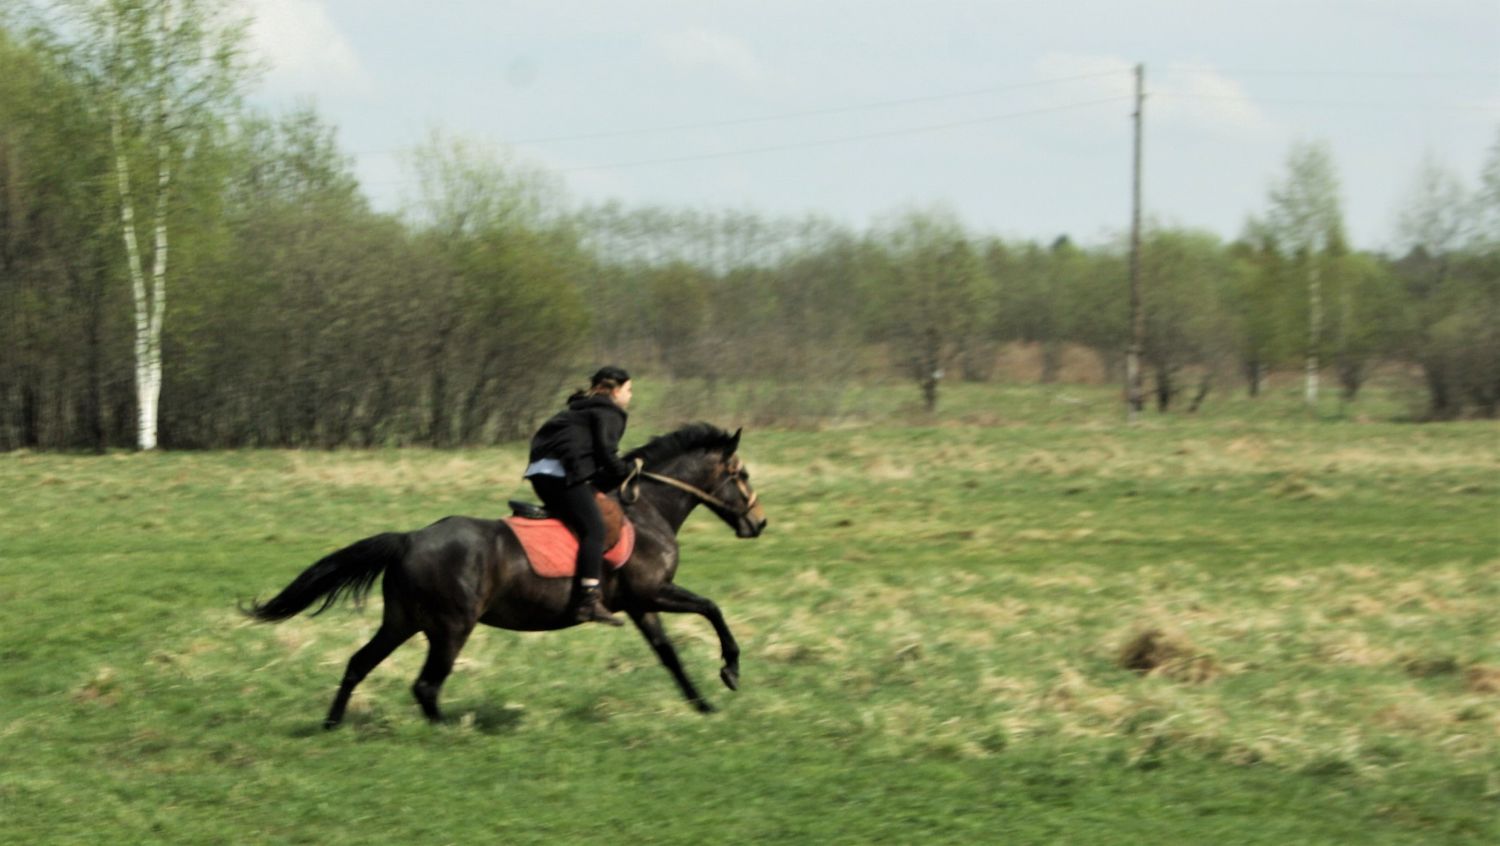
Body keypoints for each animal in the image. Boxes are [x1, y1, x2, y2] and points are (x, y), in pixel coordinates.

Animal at [244, 423, 768, 726]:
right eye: (741, 475)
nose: (759, 523)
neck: (648, 509)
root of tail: (410, 539)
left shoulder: (641, 605)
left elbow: (670, 656)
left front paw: (703, 704)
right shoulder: (653, 592)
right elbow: (712, 609)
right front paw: (730, 670)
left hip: (402, 621)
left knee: (358, 663)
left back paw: (332, 724)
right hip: (451, 627)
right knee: (426, 685)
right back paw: (450, 731)